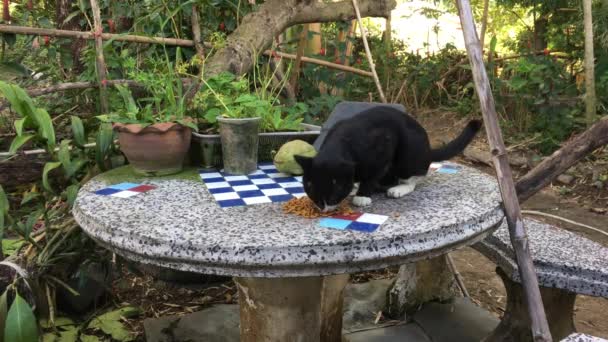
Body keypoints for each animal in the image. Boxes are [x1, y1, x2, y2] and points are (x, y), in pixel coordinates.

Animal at [292, 106, 482, 211]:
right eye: (311, 190)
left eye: (333, 194)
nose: (323, 207)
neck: (341, 143)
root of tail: (428, 149)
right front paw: (355, 187)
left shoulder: (384, 145)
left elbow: (371, 176)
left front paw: (362, 195)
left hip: (409, 154)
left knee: (414, 177)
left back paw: (398, 188)